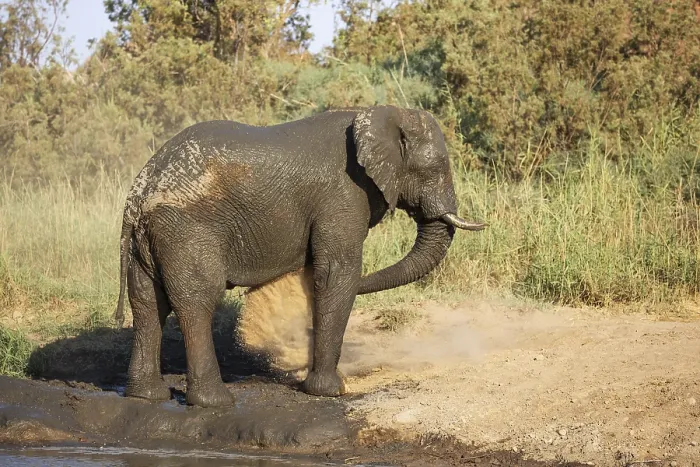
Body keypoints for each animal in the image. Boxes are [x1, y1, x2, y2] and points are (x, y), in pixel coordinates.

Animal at [114, 105, 485, 408]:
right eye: (436, 168)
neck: (378, 114)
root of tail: (138, 196)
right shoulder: (343, 194)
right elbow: (337, 273)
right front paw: (332, 391)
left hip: (149, 238)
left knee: (147, 302)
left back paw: (147, 396)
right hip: (186, 230)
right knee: (197, 300)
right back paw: (215, 401)